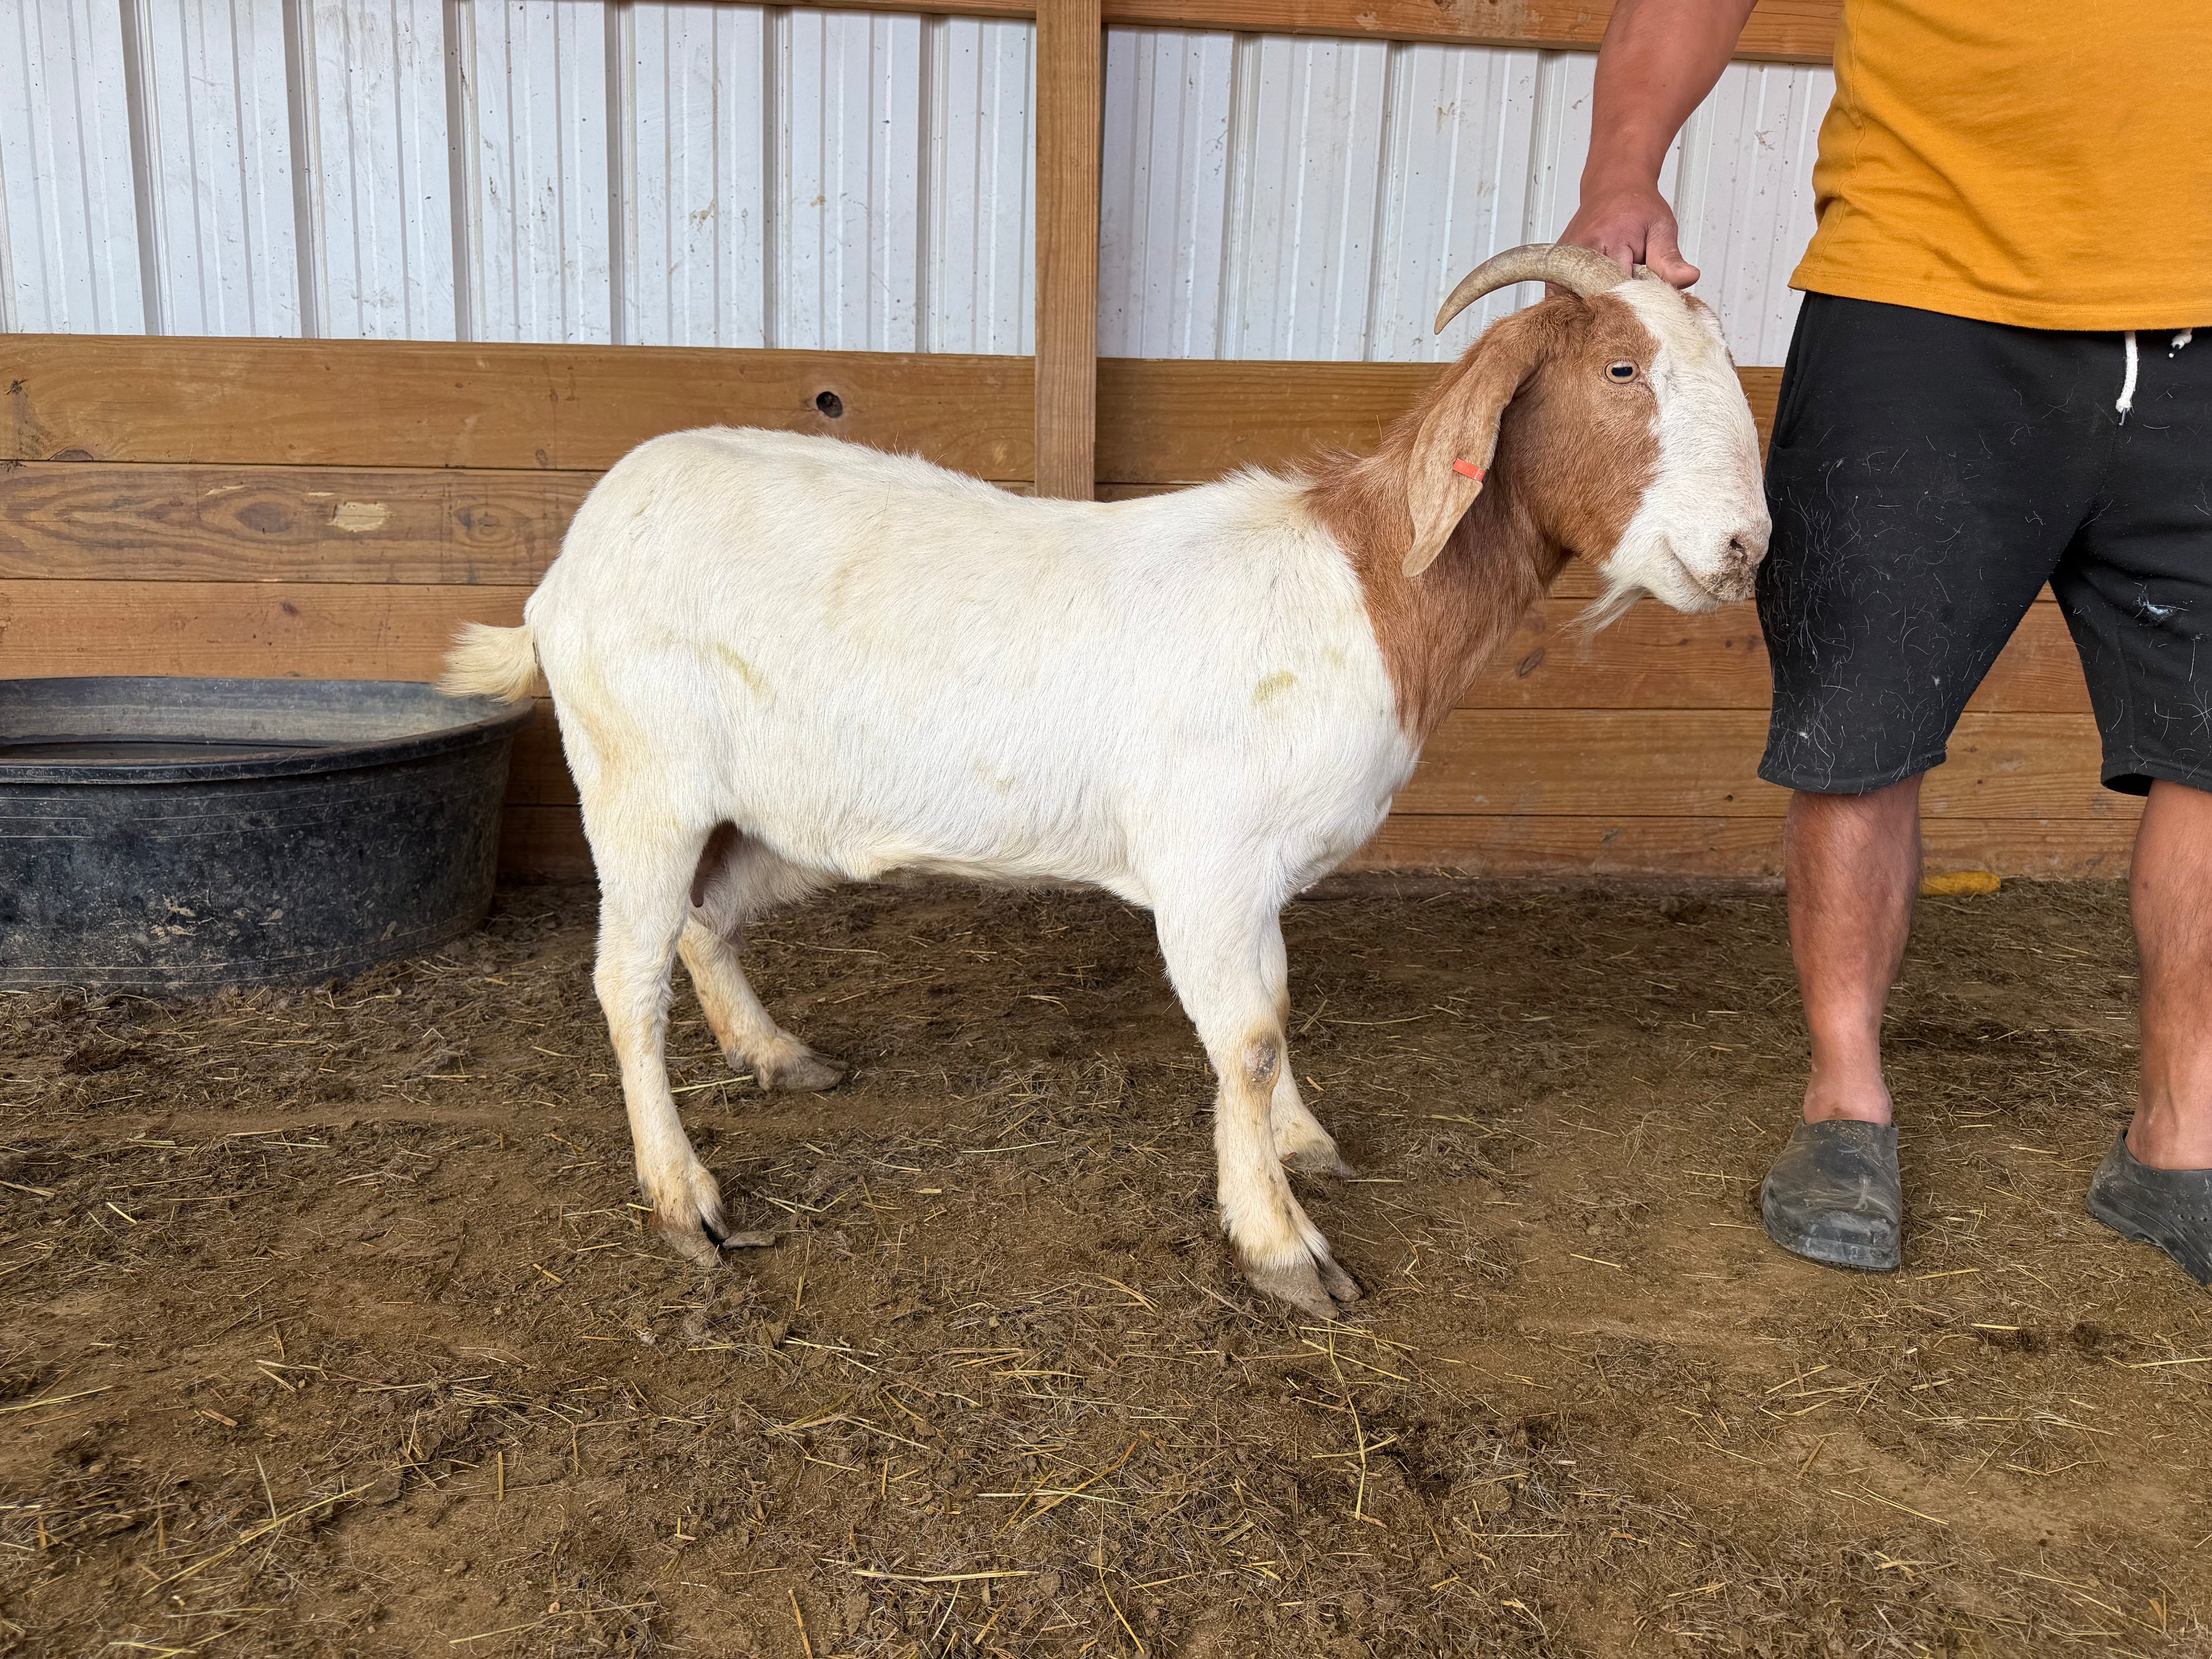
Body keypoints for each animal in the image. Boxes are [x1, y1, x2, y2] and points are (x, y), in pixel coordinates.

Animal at [440, 244, 1770, 1319]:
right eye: (1621, 370)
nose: (1744, 548)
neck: (1358, 587)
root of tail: (564, 570)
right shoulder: (1208, 860)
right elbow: (1248, 1038)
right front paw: (1282, 1246)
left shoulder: (1258, 874)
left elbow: (1275, 1020)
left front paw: (1299, 1142)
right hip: (639, 779)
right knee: (626, 981)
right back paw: (686, 1201)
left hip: (757, 818)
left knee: (702, 924)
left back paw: (775, 1054)